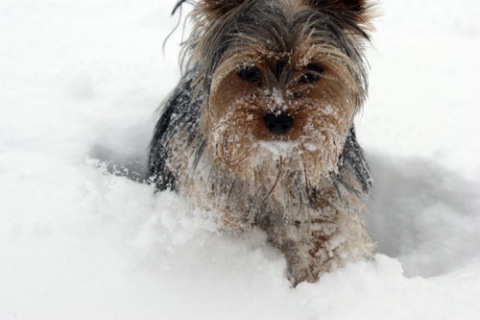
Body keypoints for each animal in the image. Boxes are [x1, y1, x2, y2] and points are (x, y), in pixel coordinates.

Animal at [149, 0, 376, 284]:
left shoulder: (327, 201)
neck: (270, 161)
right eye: (247, 71)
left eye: (312, 72)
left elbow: (324, 238)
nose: (279, 119)